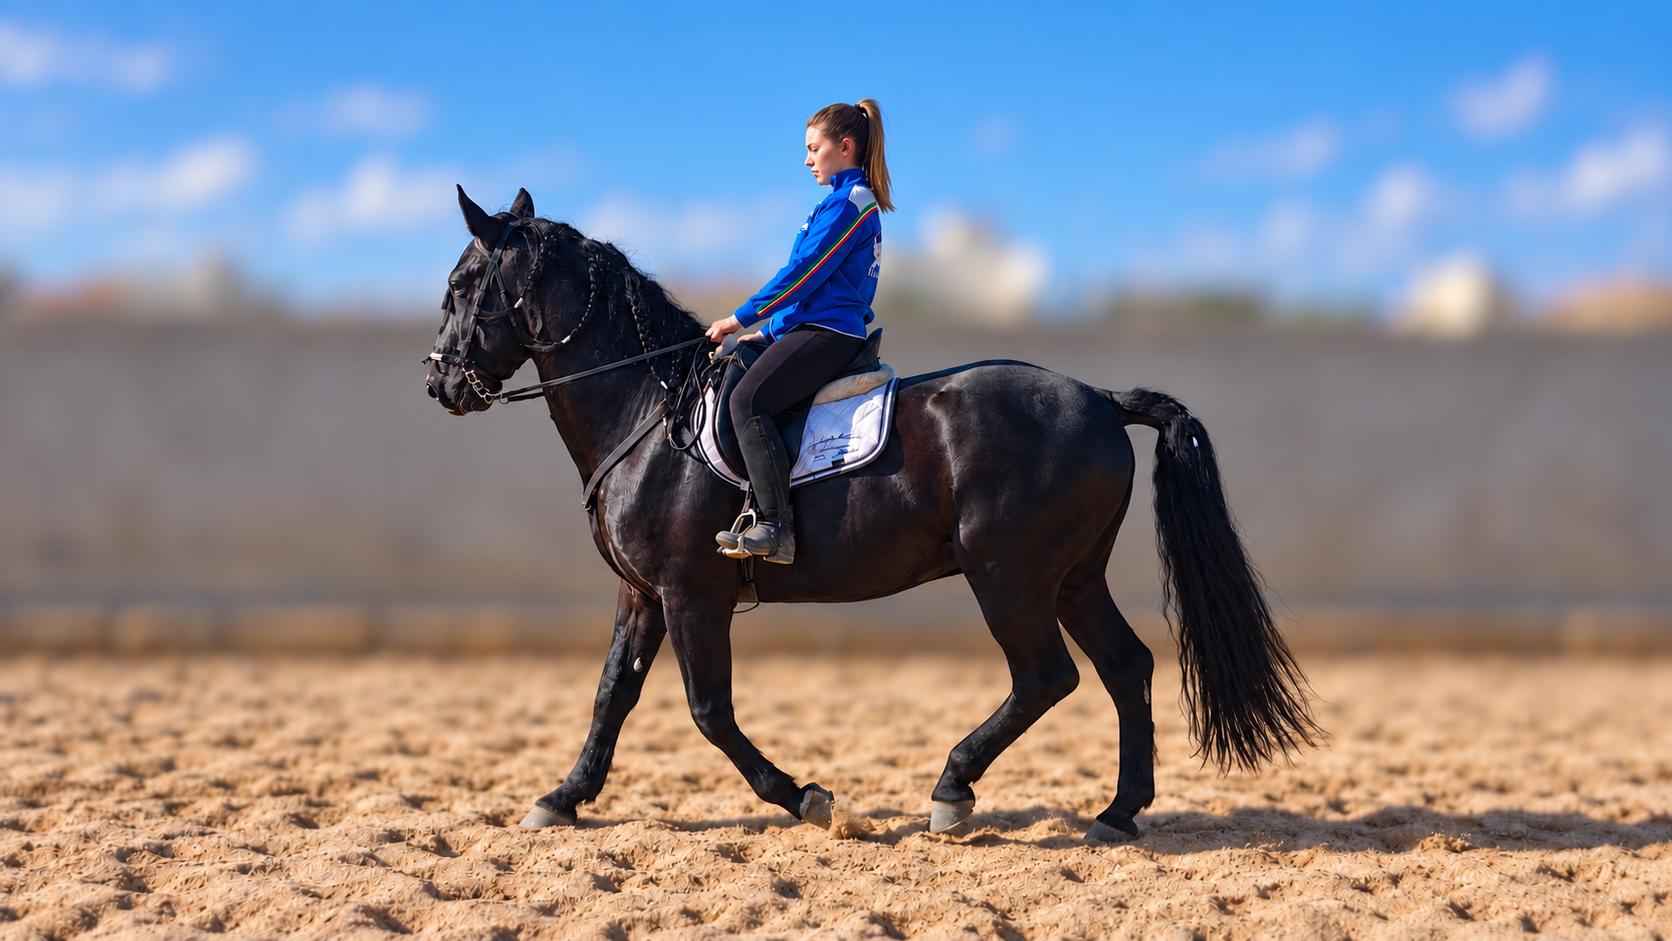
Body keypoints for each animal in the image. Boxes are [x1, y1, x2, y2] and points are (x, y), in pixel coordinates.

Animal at [424, 186, 1319, 843]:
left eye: (463, 285)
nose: (439, 381)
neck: (649, 411)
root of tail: (1100, 398)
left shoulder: (690, 594)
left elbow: (710, 712)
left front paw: (808, 797)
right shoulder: (641, 593)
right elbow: (612, 693)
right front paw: (561, 797)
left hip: (1009, 575)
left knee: (1045, 675)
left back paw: (953, 790)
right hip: (1072, 576)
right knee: (1125, 667)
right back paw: (1117, 812)